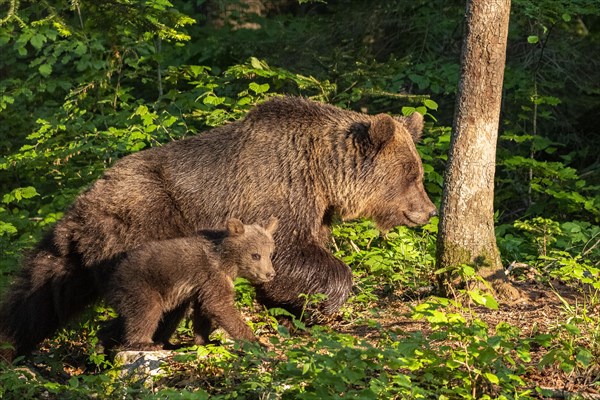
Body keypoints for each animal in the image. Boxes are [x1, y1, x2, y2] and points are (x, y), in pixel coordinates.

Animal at [0, 96, 434, 360]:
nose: (428, 211)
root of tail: (82, 205)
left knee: (39, 294)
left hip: (78, 253)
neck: (322, 173)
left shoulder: (315, 208)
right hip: (147, 227)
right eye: (412, 175)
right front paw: (317, 304)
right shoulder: (276, 192)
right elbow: (290, 255)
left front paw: (293, 311)